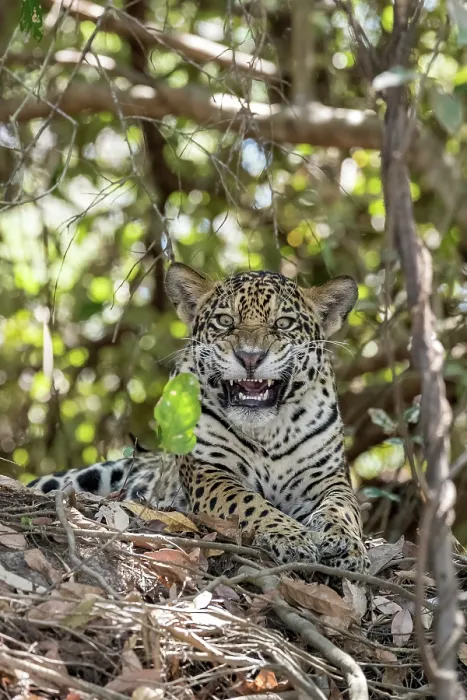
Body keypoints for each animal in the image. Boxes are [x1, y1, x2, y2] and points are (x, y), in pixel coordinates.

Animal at [29, 262, 370, 573]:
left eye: (283, 323)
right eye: (225, 320)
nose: (250, 357)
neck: (267, 432)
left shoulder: (328, 477)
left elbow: (343, 507)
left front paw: (346, 545)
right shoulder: (211, 472)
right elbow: (249, 502)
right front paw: (290, 536)